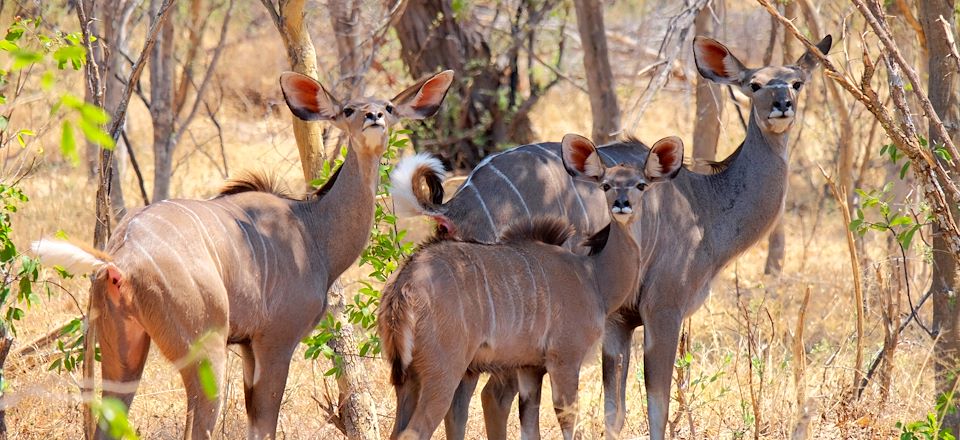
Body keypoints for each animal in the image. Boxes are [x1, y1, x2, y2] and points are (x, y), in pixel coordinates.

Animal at [30, 70, 450, 438]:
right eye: (348, 109)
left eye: (388, 107)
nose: (374, 118)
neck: (312, 230)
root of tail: (121, 258)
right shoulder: (274, 341)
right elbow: (264, 425)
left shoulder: (248, 347)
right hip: (206, 353)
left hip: (124, 352)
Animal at [378, 135, 688, 440]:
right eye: (606, 185)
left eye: (641, 184)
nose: (622, 204)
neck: (593, 276)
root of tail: (404, 286)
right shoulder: (564, 359)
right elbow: (568, 420)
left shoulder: (529, 368)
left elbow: (529, 426)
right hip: (444, 373)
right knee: (416, 431)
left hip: (408, 381)